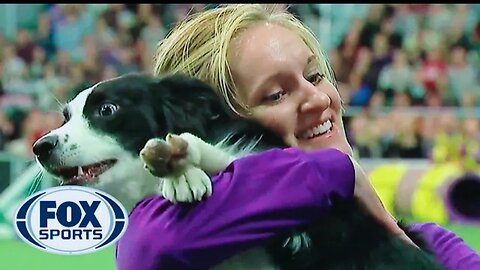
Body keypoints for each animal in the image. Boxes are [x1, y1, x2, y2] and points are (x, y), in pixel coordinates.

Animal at [32, 73, 442, 268]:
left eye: (107, 110)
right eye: (66, 117)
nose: (40, 147)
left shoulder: (330, 227)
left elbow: (238, 159)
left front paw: (183, 163)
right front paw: (180, 169)